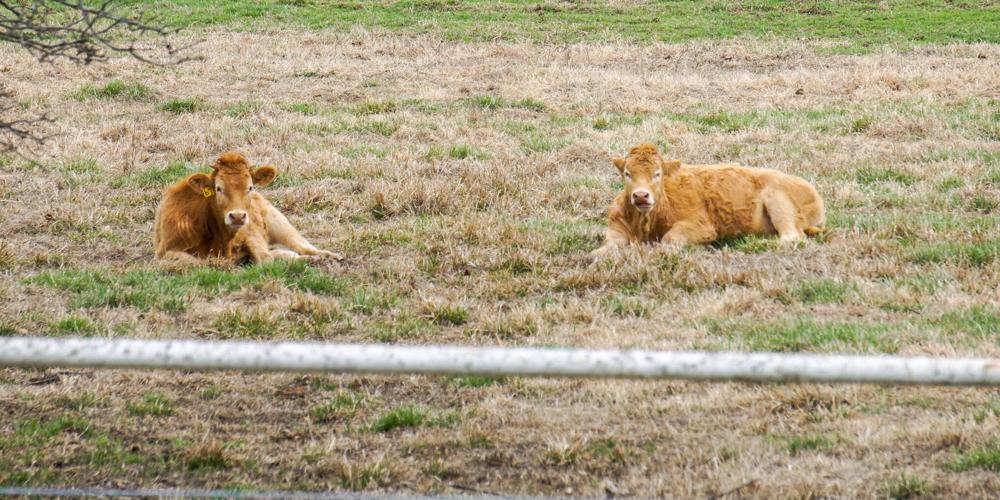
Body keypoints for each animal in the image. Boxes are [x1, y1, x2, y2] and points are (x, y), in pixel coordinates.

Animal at [153, 152, 341, 264]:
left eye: (250, 187)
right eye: (218, 188)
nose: (237, 216)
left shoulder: (251, 234)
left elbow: (264, 257)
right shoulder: (164, 252)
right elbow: (195, 263)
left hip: (280, 224)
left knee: (304, 247)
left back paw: (328, 256)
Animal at [592, 143, 825, 257]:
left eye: (657, 173)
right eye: (627, 173)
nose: (641, 196)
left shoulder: (701, 226)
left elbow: (670, 239)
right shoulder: (615, 231)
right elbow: (603, 250)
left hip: (778, 202)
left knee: (791, 237)